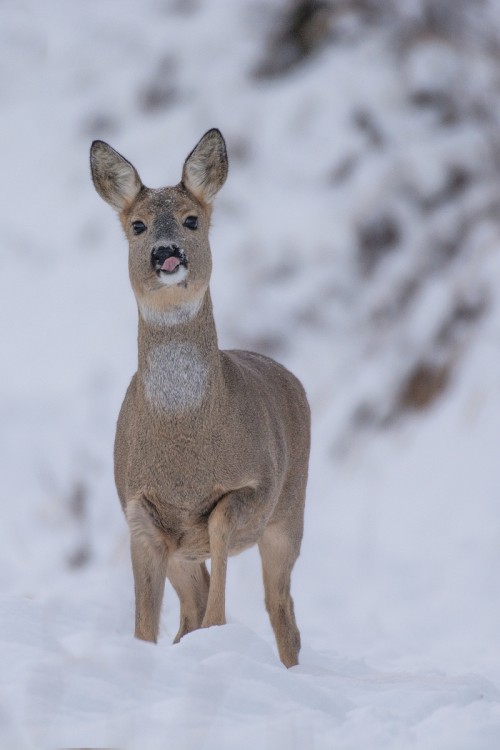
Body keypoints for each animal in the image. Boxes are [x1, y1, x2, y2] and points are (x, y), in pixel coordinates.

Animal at [89, 129, 308, 668]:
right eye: (138, 225)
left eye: (192, 219)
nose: (166, 251)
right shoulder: (140, 510)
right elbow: (146, 621)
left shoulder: (254, 486)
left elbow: (222, 533)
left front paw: (218, 632)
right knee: (193, 604)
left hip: (289, 512)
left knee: (281, 608)